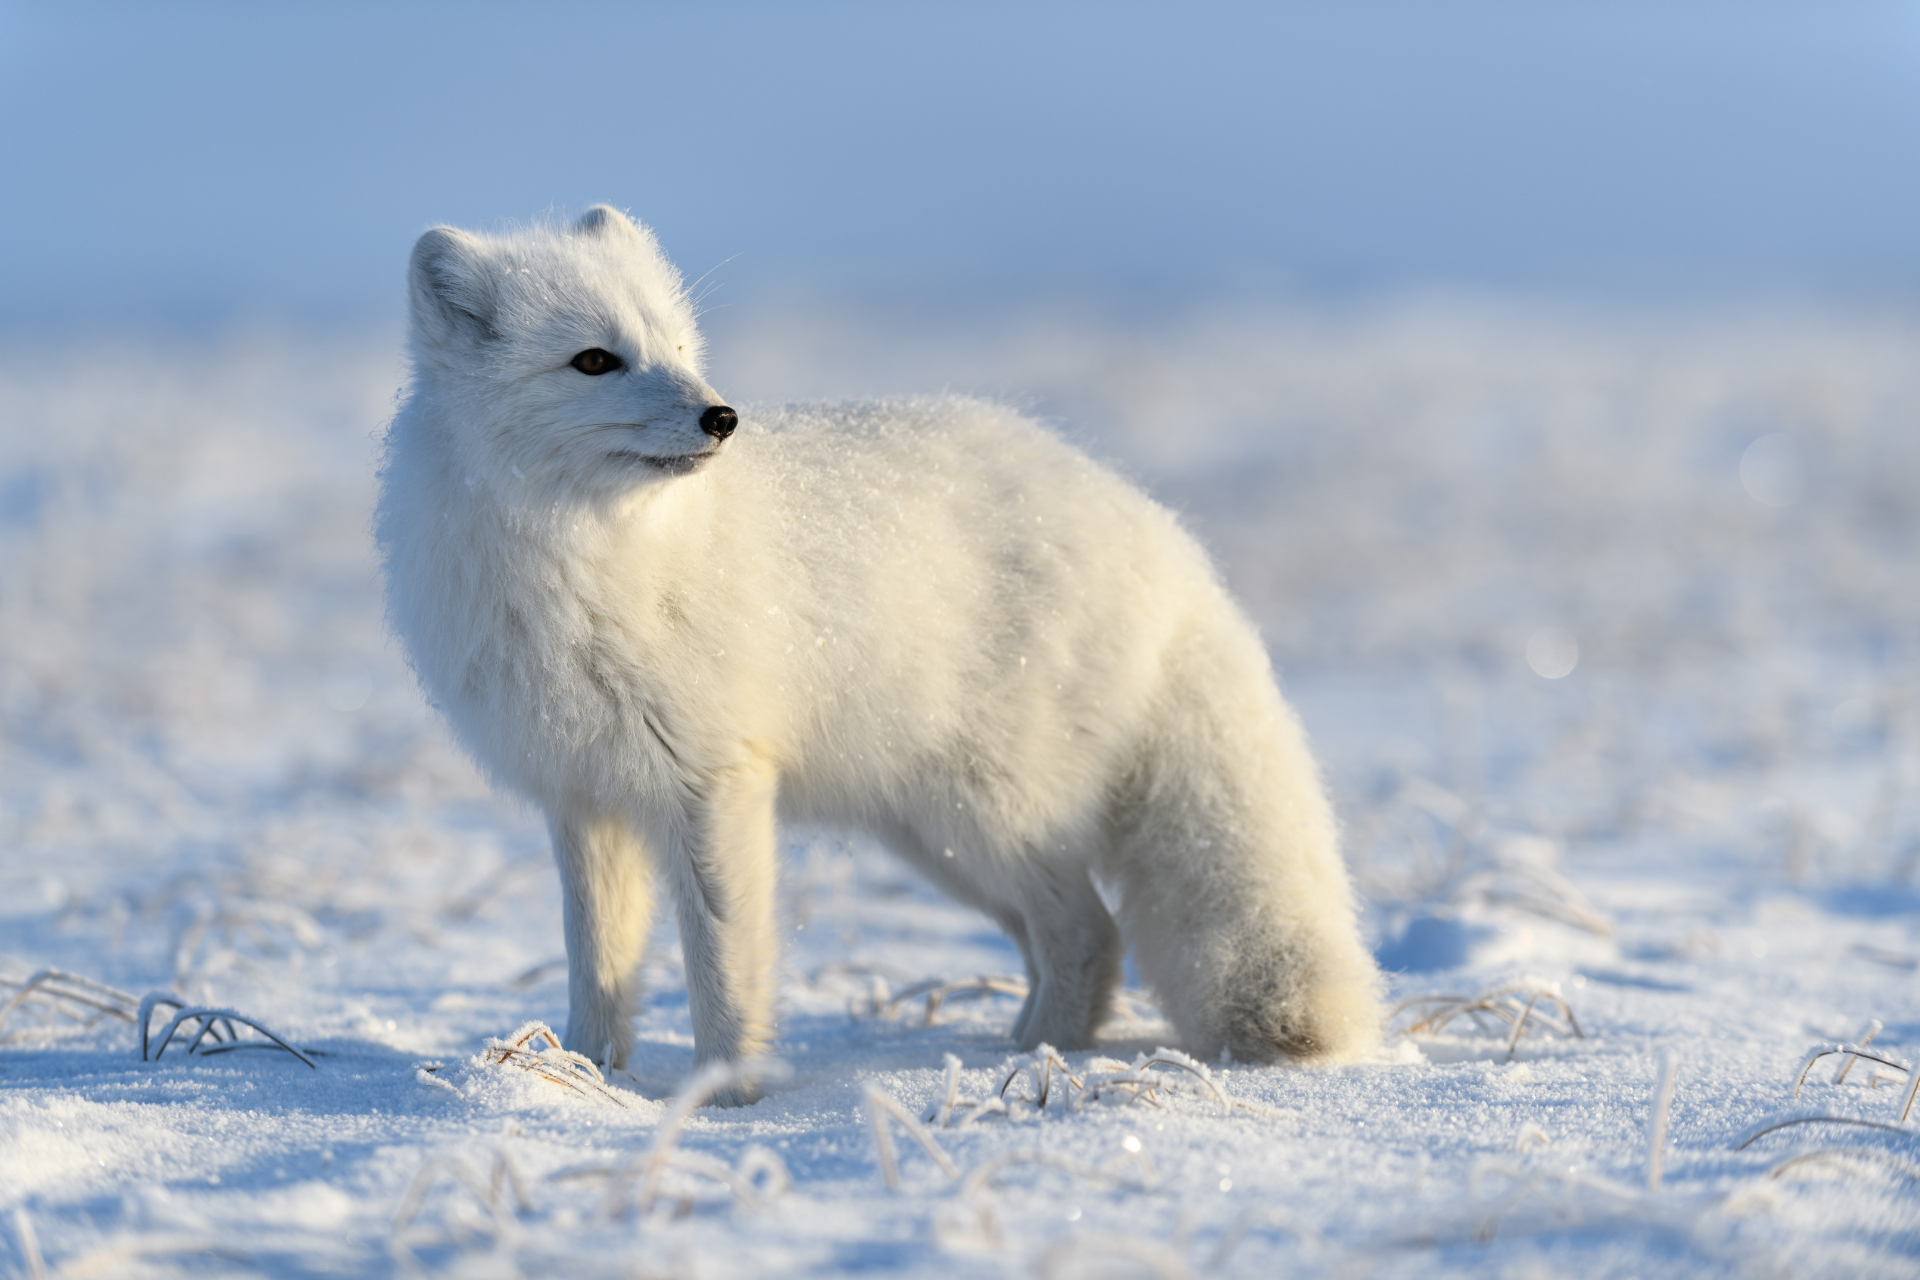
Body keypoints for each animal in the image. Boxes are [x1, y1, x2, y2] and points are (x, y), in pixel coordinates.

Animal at [374, 208, 1382, 1090]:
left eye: (679, 350)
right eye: (594, 360)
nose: (721, 418)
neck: (590, 558)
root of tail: (1160, 535)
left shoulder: (714, 782)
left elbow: (725, 968)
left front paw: (728, 1097)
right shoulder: (583, 797)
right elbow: (598, 968)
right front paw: (582, 1077)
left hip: (987, 817)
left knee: (1090, 933)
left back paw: (1033, 1061)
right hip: (938, 840)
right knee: (1070, 938)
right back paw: (1011, 1049)